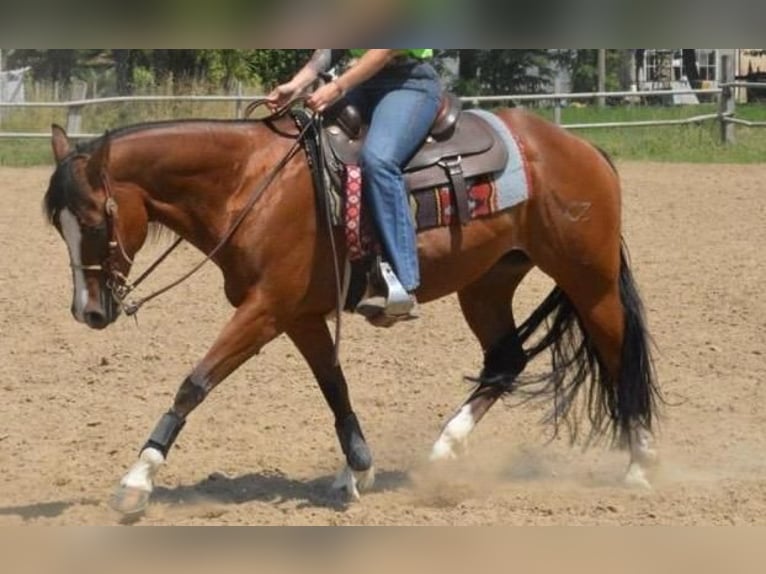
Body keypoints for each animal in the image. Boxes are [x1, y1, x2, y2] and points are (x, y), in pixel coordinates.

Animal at [43, 105, 661, 516]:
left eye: (93, 221)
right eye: (57, 224)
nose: (87, 312)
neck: (250, 184)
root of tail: (582, 149)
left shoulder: (265, 310)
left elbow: (194, 383)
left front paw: (137, 480)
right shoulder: (299, 316)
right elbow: (334, 386)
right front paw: (356, 468)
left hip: (590, 281)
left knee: (618, 353)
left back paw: (639, 464)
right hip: (487, 284)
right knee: (505, 362)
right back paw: (442, 452)